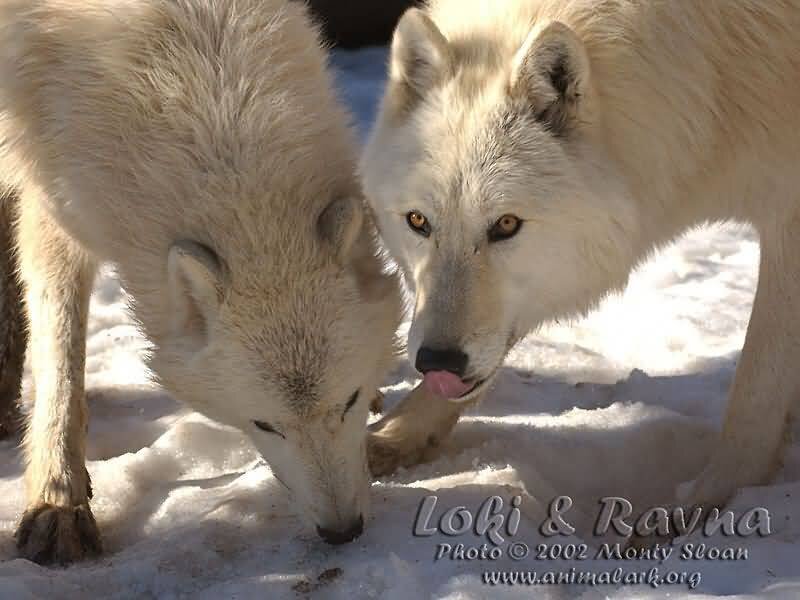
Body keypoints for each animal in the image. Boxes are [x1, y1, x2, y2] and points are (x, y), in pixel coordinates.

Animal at [0, 0, 401, 564]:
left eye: (349, 402)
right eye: (264, 425)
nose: (343, 531)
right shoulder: (51, 203)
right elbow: (61, 359)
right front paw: (57, 501)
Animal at [362, 0, 800, 511]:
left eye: (505, 225)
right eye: (418, 222)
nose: (439, 362)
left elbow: (758, 381)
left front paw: (713, 501)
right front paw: (395, 436)